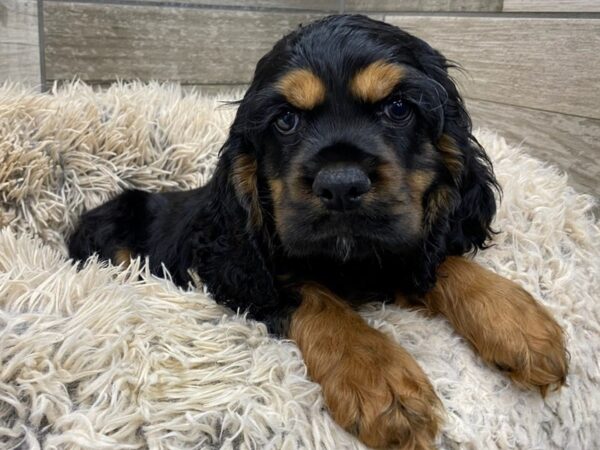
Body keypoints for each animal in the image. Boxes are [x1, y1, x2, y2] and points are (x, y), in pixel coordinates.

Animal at [69, 14, 568, 450]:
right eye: (286, 120)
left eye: (398, 108)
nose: (341, 186)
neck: (348, 261)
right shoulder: (240, 273)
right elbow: (312, 295)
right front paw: (380, 380)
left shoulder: (396, 246)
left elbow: (436, 260)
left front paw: (519, 324)